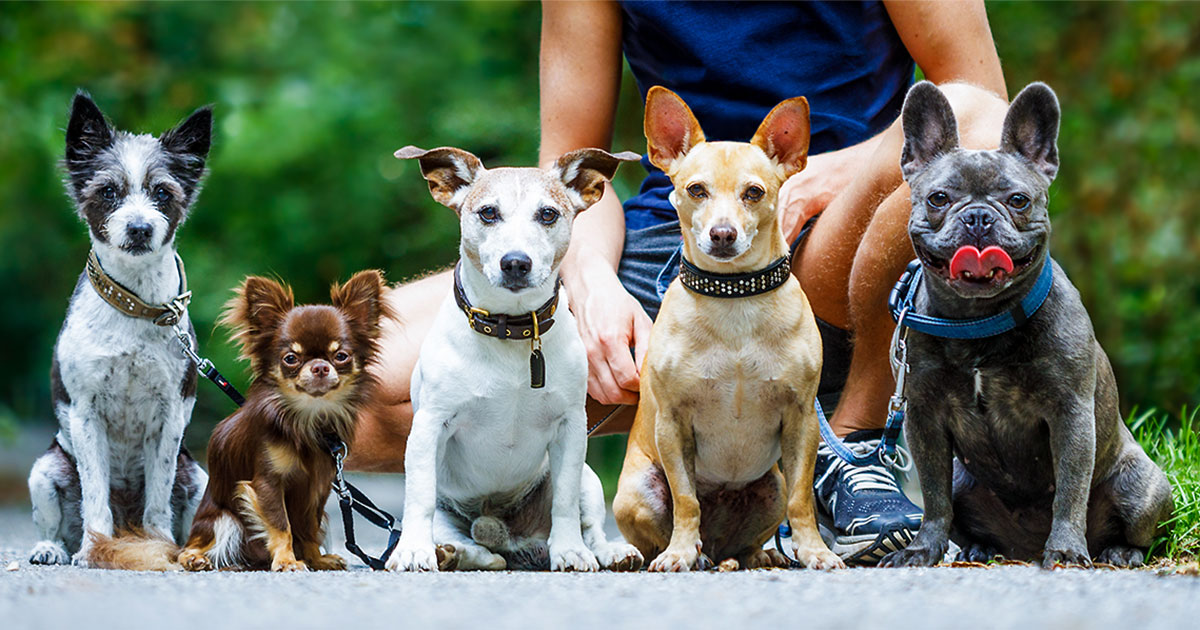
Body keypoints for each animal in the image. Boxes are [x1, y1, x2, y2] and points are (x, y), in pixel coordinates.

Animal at [28, 83, 1171, 573]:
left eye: (550, 214)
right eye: (484, 214)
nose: (519, 264)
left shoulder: (726, 429)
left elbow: (804, 493)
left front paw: (816, 548)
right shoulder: (481, 432)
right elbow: (432, 492)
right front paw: (411, 556)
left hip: (587, 475)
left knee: (621, 524)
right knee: (485, 527)